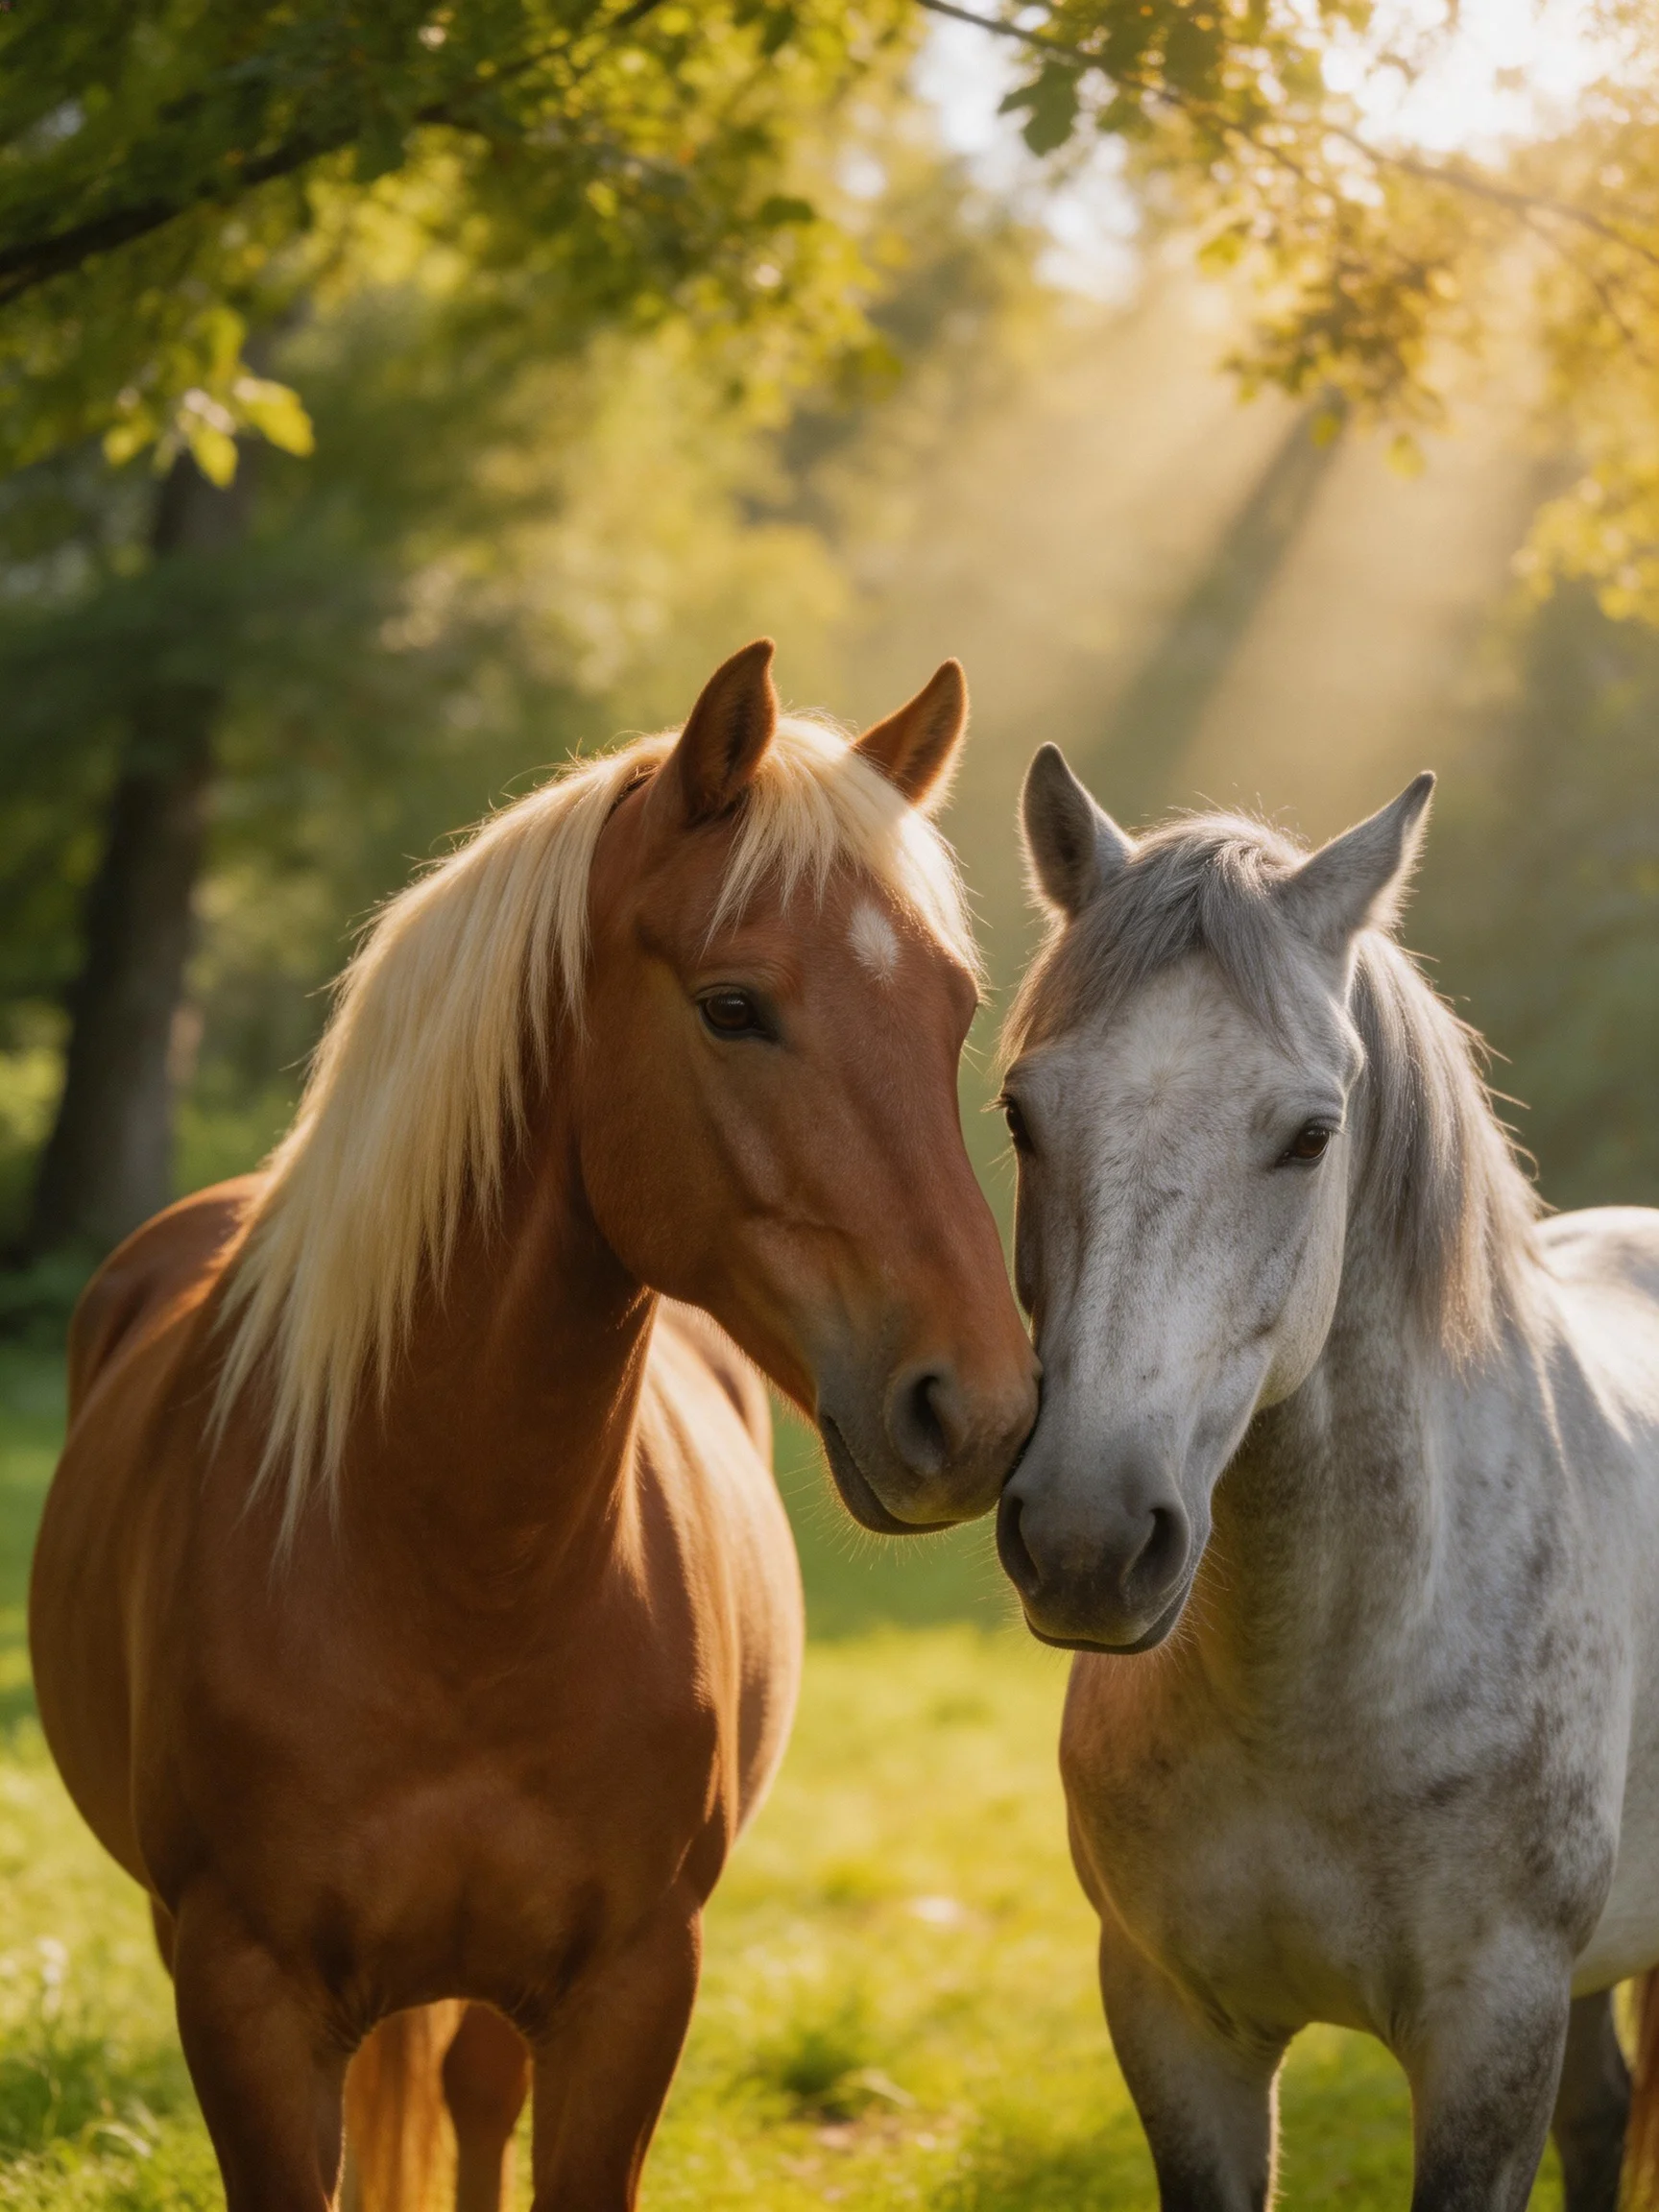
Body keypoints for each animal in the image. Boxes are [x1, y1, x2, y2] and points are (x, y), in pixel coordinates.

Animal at [29, 638, 1039, 2212]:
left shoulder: (629, 1992)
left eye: (950, 1012)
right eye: (733, 1007)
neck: (452, 1567)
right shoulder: (241, 1997)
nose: (978, 1409)